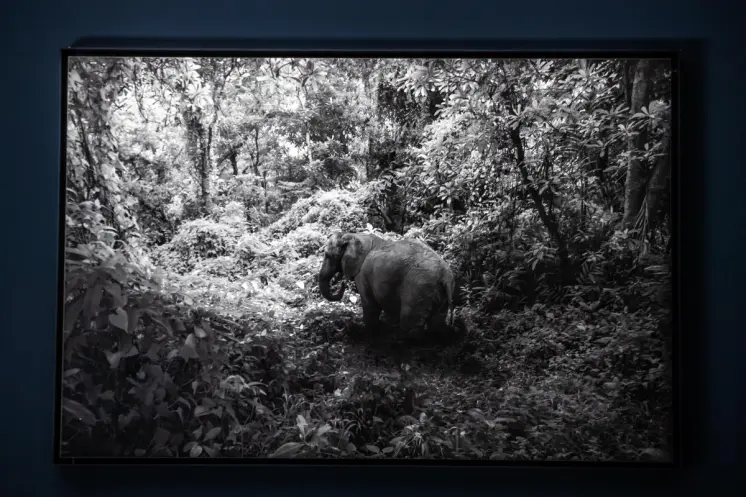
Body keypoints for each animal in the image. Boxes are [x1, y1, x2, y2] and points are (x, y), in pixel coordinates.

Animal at [318, 232, 455, 336]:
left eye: (327, 255)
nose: (342, 284)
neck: (354, 235)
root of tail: (445, 275)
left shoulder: (362, 273)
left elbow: (369, 304)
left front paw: (369, 332)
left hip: (419, 288)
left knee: (409, 322)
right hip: (438, 291)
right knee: (437, 321)